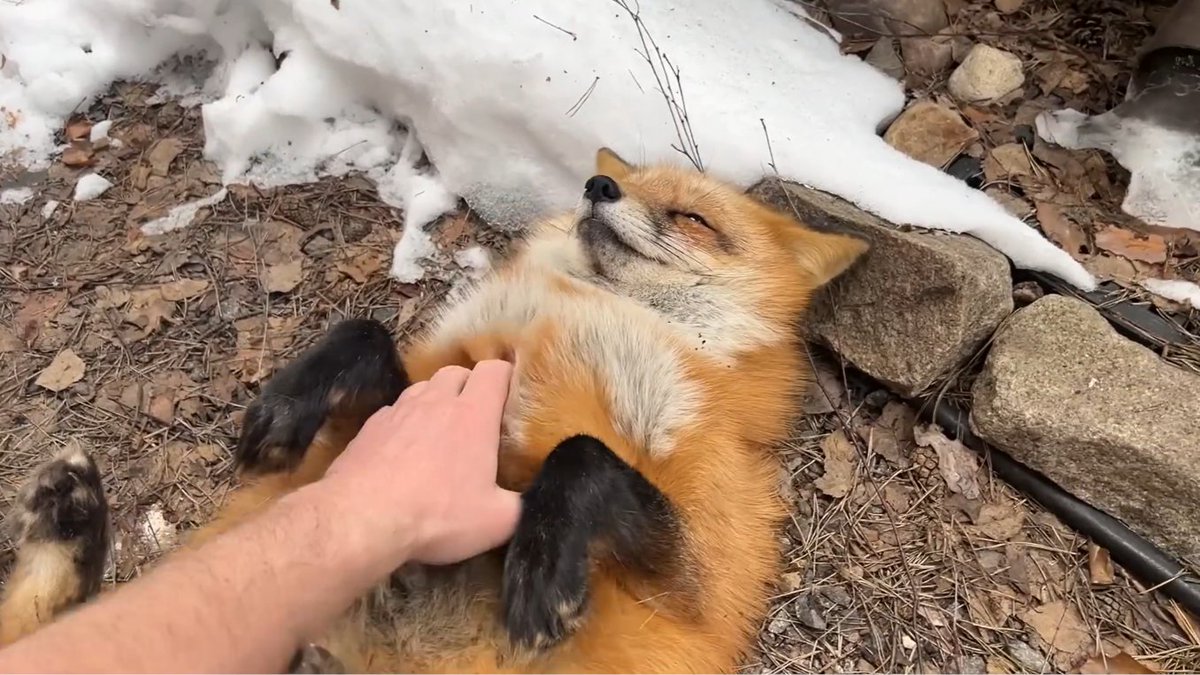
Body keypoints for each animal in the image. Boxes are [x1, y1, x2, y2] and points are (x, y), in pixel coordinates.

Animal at [0, 148, 868, 672]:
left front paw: (542, 564)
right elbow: (365, 332)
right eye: (620, 184)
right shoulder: (376, 427)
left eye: (692, 217)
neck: (579, 325)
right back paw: (69, 526)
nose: (598, 186)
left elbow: (581, 455)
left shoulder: (703, 582)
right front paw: (286, 404)